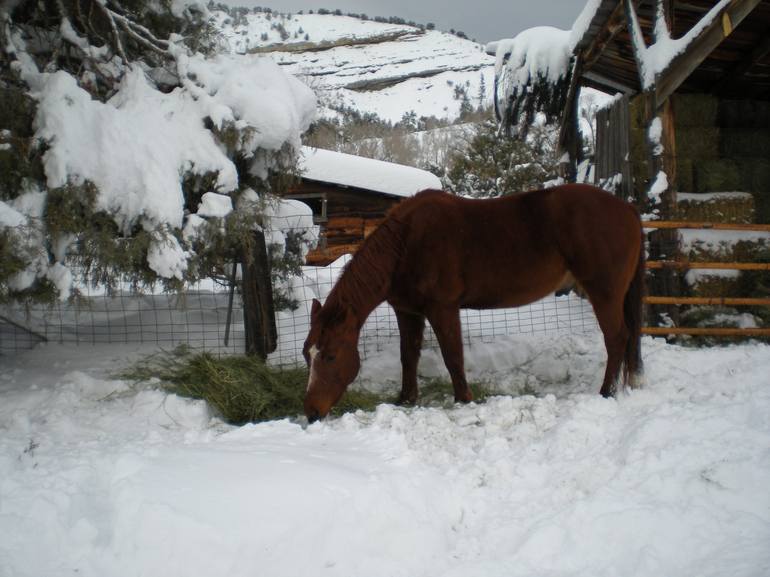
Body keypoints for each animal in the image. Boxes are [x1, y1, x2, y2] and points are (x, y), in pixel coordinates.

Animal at [300, 187, 640, 420]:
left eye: (330, 356)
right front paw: (406, 399)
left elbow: (453, 356)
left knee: (616, 338)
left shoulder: (442, 309)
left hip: (604, 293)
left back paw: (606, 393)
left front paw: (464, 399)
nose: (311, 412)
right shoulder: (407, 311)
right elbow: (408, 356)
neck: (406, 243)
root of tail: (628, 209)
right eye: (307, 355)